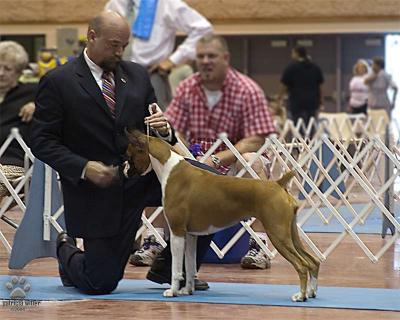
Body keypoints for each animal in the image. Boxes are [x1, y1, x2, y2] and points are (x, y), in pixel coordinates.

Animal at [124, 129, 318, 302]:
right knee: (312, 261)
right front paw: (187, 290)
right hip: (290, 234)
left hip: (278, 235)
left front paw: (173, 291)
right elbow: (190, 265)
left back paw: (301, 296)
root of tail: (278, 184)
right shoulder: (191, 235)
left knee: (302, 265)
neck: (170, 168)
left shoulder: (177, 232)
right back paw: (311, 293)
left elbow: (177, 268)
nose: (124, 171)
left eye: (129, 156)